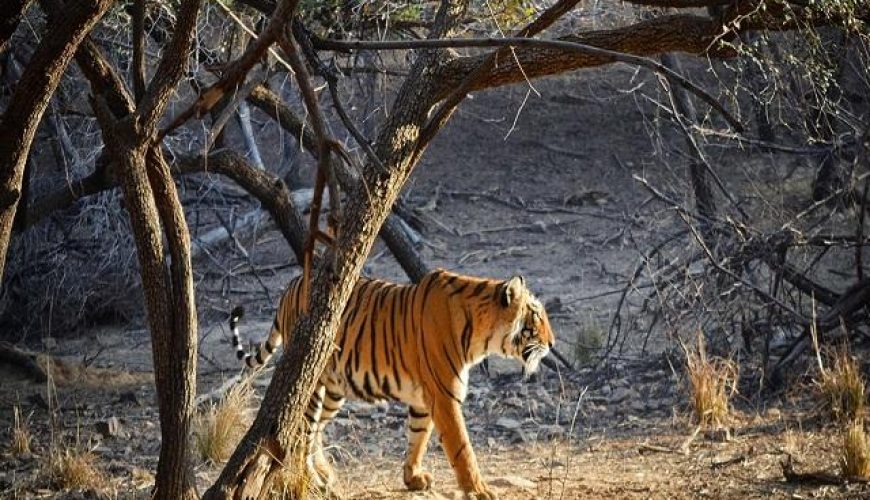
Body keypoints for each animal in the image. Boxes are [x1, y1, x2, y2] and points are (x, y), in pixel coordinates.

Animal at [230, 270, 560, 496]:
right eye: (537, 319)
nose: (553, 343)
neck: (481, 334)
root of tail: (291, 284)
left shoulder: (425, 398)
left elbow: (418, 437)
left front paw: (413, 478)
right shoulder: (444, 395)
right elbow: (462, 448)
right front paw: (479, 490)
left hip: (333, 388)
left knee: (316, 432)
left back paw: (326, 474)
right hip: (312, 383)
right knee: (301, 434)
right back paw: (314, 480)